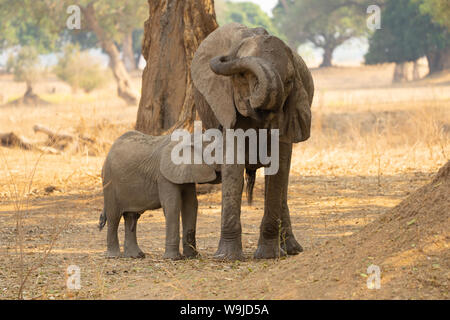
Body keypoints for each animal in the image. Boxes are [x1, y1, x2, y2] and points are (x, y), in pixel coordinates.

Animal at [190, 23, 312, 260]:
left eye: (289, 81)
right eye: (242, 77)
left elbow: (278, 167)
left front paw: (267, 256)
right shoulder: (226, 105)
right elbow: (233, 165)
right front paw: (226, 258)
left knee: (283, 184)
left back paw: (291, 249)